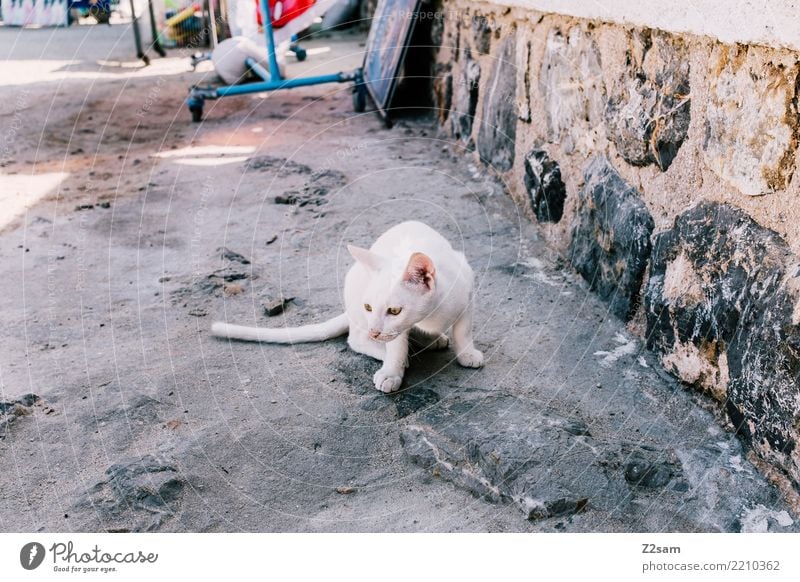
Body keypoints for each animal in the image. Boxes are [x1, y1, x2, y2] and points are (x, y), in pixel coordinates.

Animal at [209, 221, 484, 394]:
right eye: (369, 306)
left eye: (394, 311)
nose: (375, 331)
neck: (431, 314)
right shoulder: (392, 329)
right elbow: (396, 346)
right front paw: (392, 371)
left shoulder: (468, 292)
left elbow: (463, 331)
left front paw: (467, 353)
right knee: (356, 340)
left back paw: (434, 339)